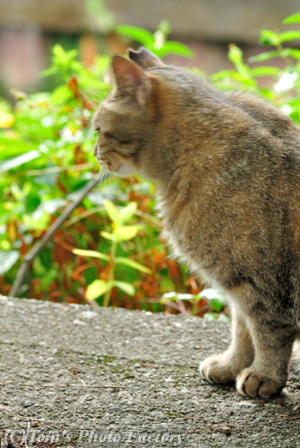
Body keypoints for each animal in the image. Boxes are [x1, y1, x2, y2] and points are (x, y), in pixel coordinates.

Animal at [92, 46, 300, 400]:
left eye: (96, 129)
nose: (94, 152)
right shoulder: (239, 283)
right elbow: (242, 331)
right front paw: (231, 365)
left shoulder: (264, 285)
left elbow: (267, 334)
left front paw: (264, 376)